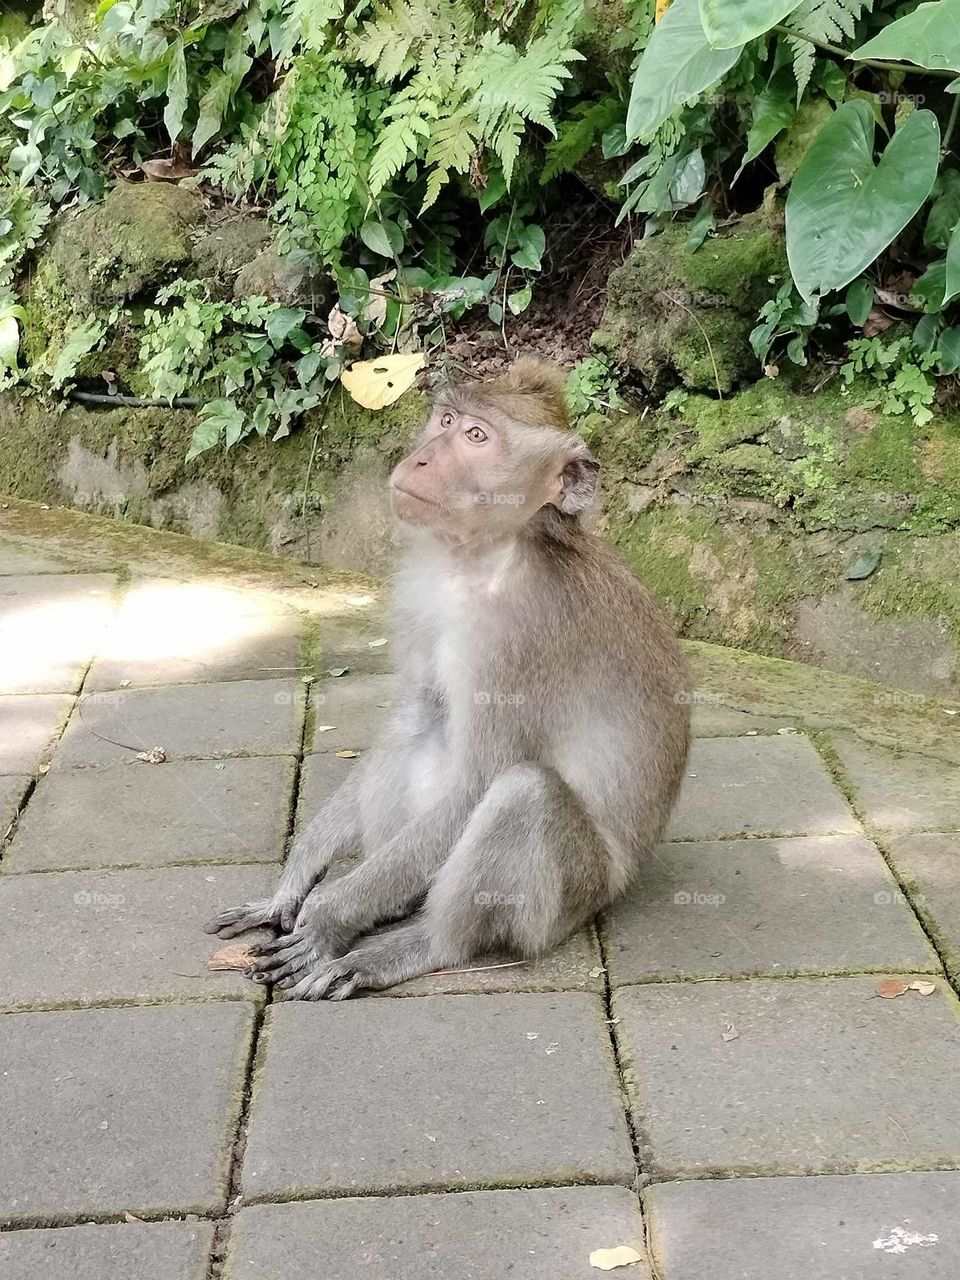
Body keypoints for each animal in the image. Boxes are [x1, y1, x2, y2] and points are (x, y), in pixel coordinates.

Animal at [205, 357, 691, 999]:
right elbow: (417, 709)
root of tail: (619, 885)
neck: (483, 557)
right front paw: (297, 880)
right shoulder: (420, 591)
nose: (421, 459)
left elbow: (475, 782)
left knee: (523, 793)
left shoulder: (518, 638)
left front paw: (328, 919)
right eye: (446, 420)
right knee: (419, 719)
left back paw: (421, 944)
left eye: (477, 437)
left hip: (571, 897)